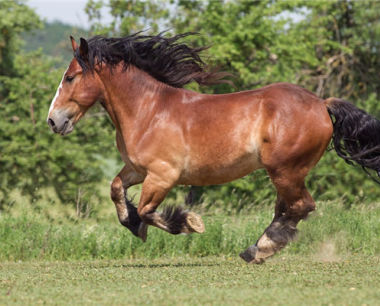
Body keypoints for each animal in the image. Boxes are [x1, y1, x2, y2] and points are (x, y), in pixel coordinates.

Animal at [46, 32, 380, 262]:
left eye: (70, 77)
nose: (53, 121)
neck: (148, 111)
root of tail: (321, 103)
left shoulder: (163, 175)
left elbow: (147, 210)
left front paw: (188, 223)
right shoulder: (137, 170)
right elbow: (116, 190)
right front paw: (133, 224)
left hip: (286, 170)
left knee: (301, 206)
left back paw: (261, 248)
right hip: (286, 173)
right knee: (288, 208)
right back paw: (257, 248)